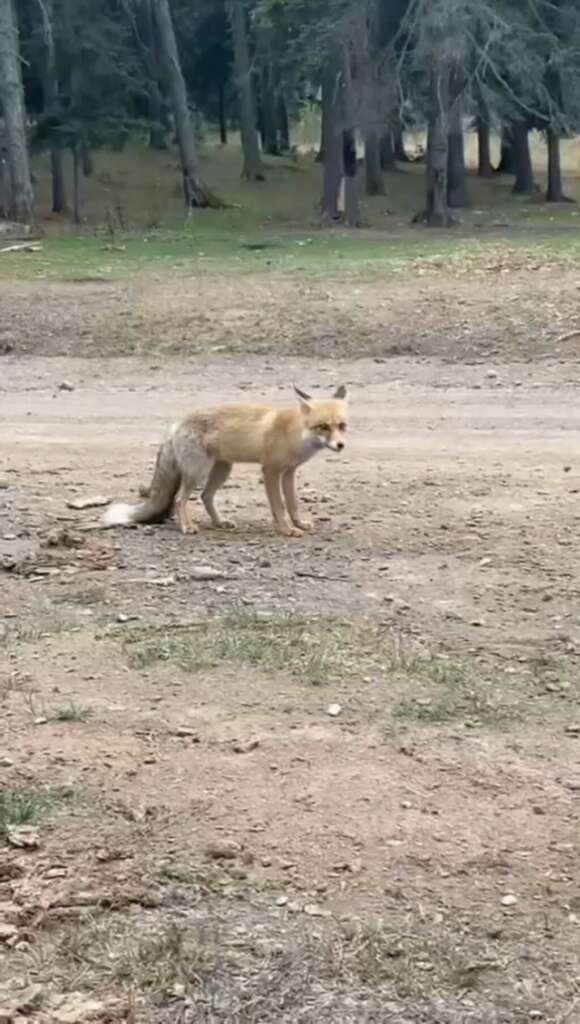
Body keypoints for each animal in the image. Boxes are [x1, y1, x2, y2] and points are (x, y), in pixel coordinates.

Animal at [100, 385, 348, 540]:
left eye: (342, 425)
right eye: (323, 427)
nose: (340, 445)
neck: (296, 433)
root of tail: (176, 423)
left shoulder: (289, 472)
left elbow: (293, 503)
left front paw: (299, 524)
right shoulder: (270, 471)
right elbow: (278, 506)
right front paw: (286, 530)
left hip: (223, 470)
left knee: (205, 496)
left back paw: (219, 523)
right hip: (198, 472)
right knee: (180, 499)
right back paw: (187, 526)